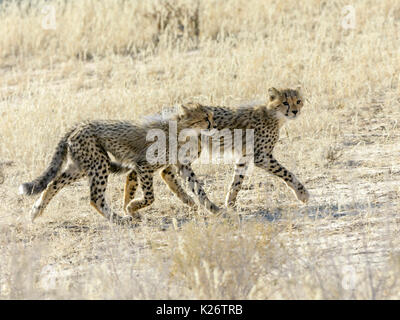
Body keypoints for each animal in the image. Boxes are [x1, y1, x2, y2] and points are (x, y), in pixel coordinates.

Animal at [18, 104, 219, 224]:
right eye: (205, 118)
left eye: (210, 116)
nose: (213, 124)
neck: (180, 131)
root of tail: (80, 124)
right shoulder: (144, 166)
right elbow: (149, 196)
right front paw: (130, 209)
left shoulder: (171, 167)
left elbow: (197, 189)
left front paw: (212, 208)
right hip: (100, 163)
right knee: (95, 198)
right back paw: (118, 219)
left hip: (80, 166)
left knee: (53, 183)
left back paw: (35, 211)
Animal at [112, 87, 310, 209]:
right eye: (285, 102)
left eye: (298, 101)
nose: (295, 111)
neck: (273, 115)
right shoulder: (261, 156)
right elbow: (286, 172)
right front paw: (302, 193)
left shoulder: (245, 156)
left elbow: (237, 181)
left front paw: (230, 202)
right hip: (188, 148)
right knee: (155, 170)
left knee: (152, 171)